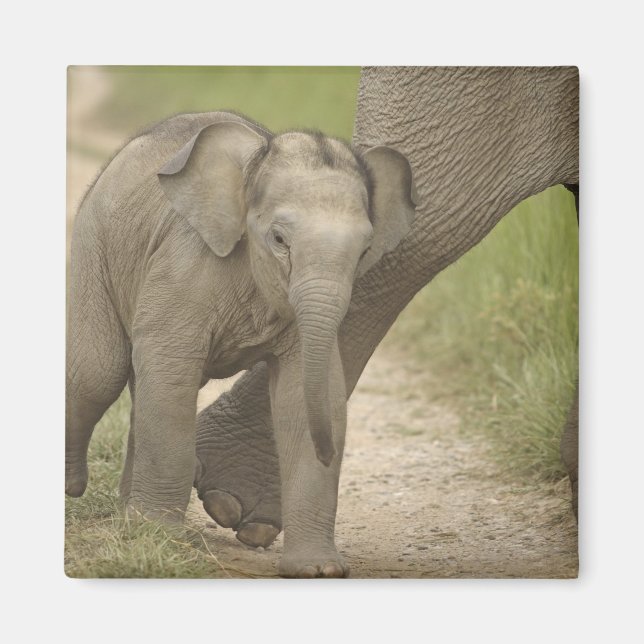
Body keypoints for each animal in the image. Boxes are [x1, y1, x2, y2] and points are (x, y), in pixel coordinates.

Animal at [65, 110, 417, 577]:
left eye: (364, 252)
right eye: (280, 240)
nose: (329, 454)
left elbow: (303, 398)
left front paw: (318, 570)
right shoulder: (184, 267)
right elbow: (169, 370)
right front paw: (163, 538)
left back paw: (130, 520)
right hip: (94, 242)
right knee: (98, 373)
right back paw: (78, 492)